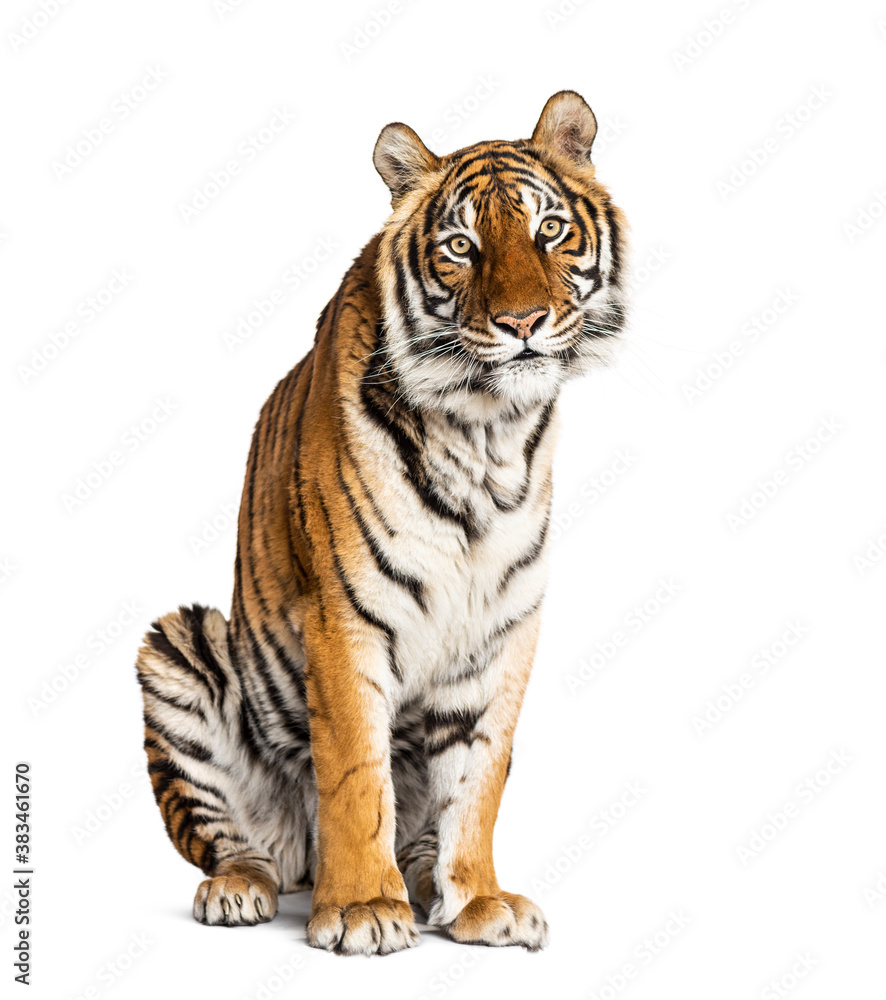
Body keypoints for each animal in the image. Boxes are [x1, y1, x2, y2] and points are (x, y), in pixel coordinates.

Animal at [135, 89, 628, 956]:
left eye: (549, 230)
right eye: (462, 247)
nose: (523, 322)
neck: (488, 435)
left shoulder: (503, 631)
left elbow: (479, 780)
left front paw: (479, 901)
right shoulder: (344, 619)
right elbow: (356, 772)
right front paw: (364, 908)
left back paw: (430, 884)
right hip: (179, 644)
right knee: (233, 841)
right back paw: (242, 890)